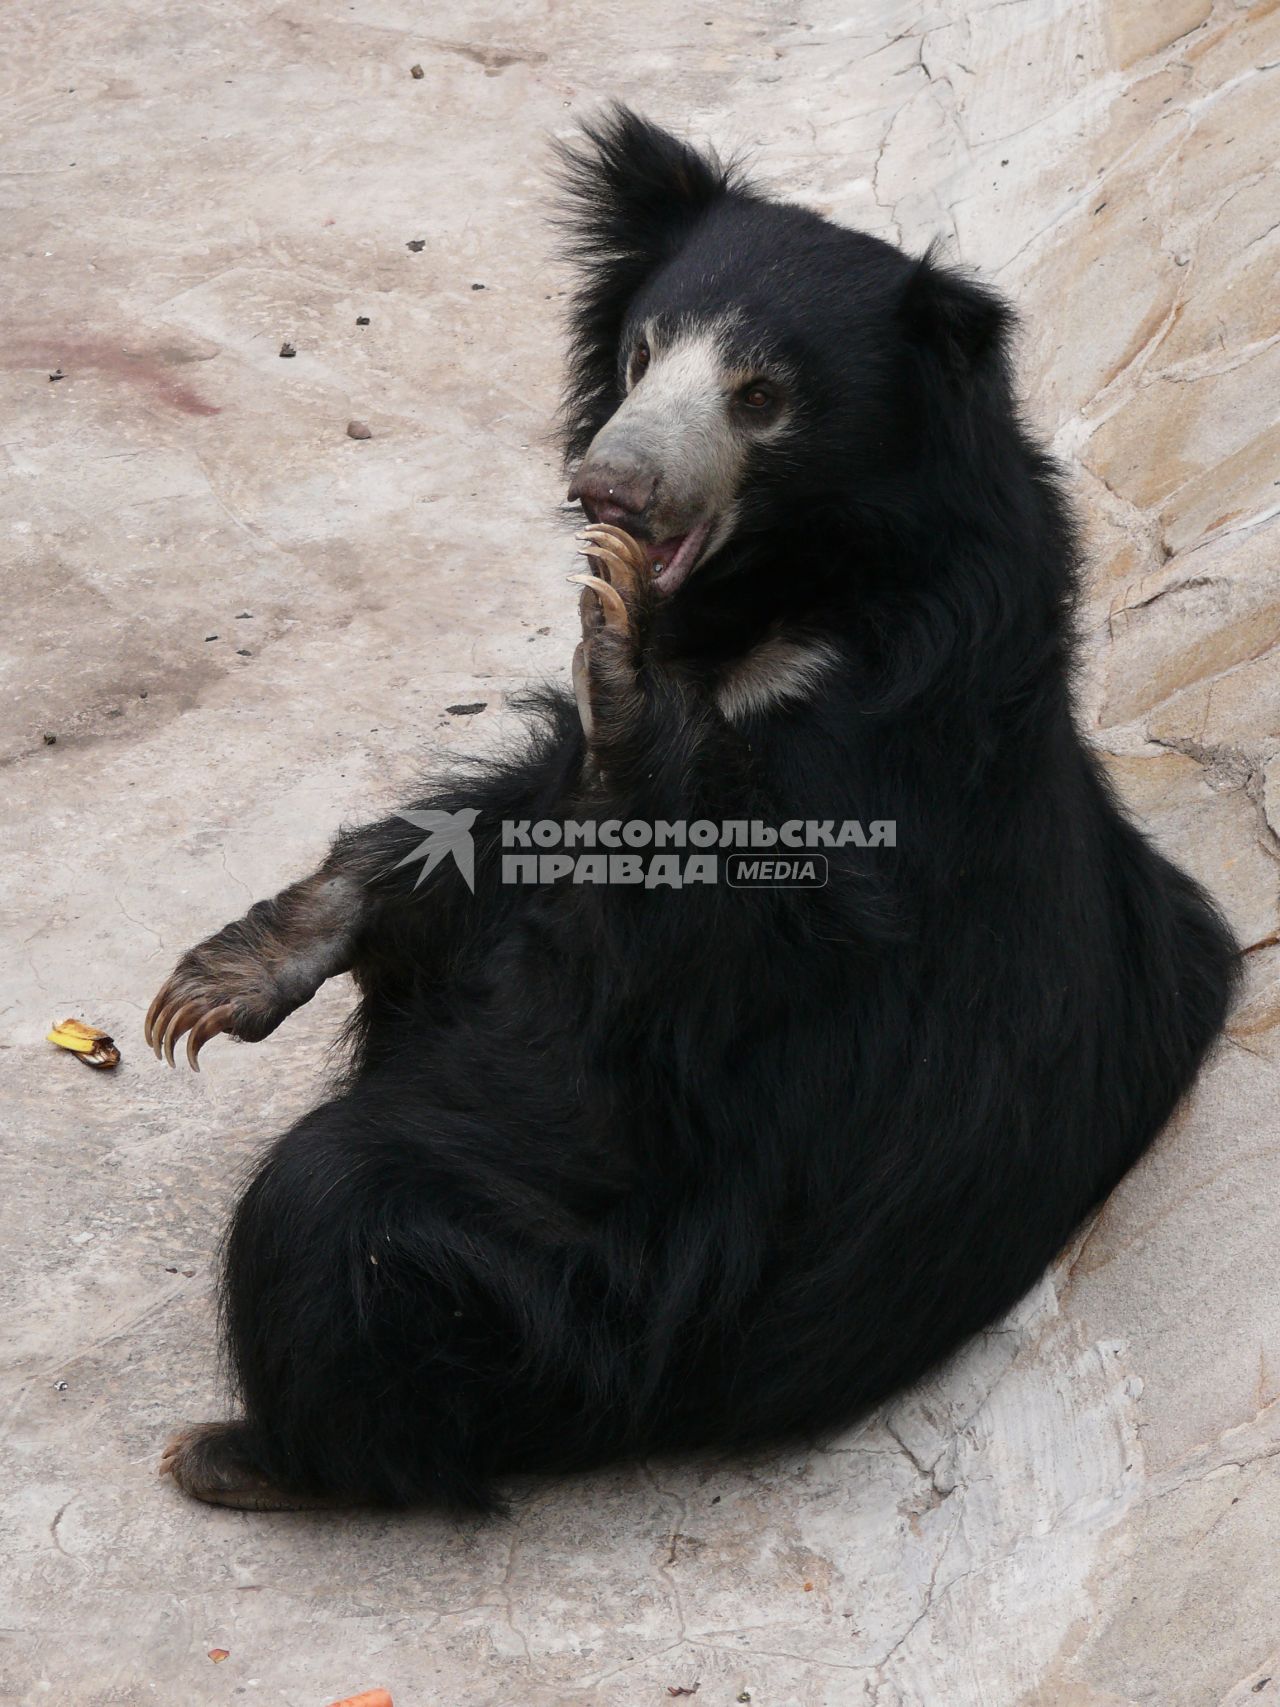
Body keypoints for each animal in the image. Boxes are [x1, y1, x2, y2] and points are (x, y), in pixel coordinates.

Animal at [150, 113, 1242, 1515]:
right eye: (639, 354)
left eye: (760, 396)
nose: (607, 490)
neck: (779, 610)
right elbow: (492, 843)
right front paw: (223, 975)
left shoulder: (893, 778)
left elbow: (714, 958)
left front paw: (615, 653)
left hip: (610, 1288)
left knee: (334, 1212)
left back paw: (250, 1454)